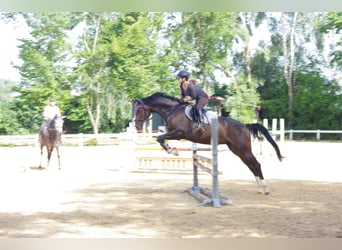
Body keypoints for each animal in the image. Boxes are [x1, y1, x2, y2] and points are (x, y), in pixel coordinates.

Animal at [134, 93, 284, 194]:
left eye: (139, 110)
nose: (137, 127)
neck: (172, 110)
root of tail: (244, 125)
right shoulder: (173, 133)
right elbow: (160, 138)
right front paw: (172, 149)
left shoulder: (179, 133)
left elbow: (160, 138)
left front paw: (173, 150)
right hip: (237, 150)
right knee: (251, 165)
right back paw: (260, 187)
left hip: (243, 149)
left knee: (256, 164)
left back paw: (265, 188)